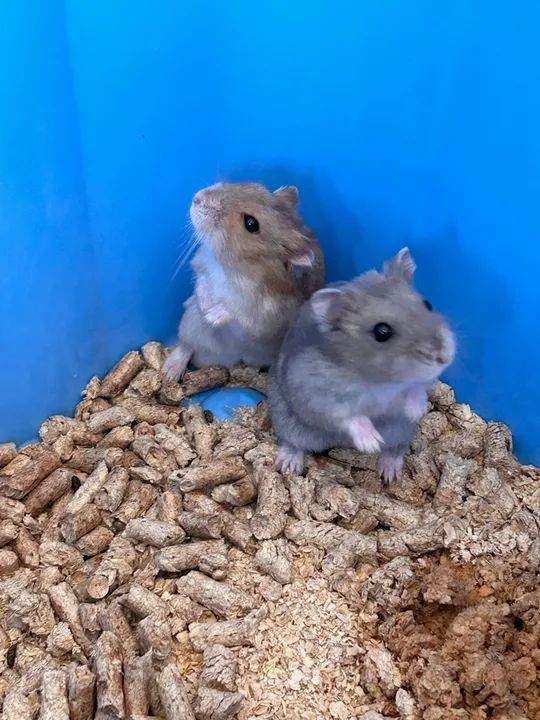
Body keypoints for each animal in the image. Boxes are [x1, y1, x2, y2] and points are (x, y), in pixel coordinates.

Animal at [163, 182, 325, 380]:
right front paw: (205, 306)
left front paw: (211, 316)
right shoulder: (203, 264)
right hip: (189, 324)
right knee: (186, 346)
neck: (232, 266)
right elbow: (202, 282)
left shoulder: (267, 313)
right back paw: (168, 373)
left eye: (251, 223)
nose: (197, 198)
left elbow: (237, 310)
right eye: (254, 186)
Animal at [268, 248, 456, 482]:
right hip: (290, 424)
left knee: (395, 449)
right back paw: (288, 465)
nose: (444, 357)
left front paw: (416, 411)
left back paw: (390, 474)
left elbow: (417, 387)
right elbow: (347, 415)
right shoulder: (315, 392)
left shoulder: (420, 381)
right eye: (381, 331)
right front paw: (371, 443)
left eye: (428, 304)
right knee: (294, 444)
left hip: (400, 431)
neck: (380, 380)